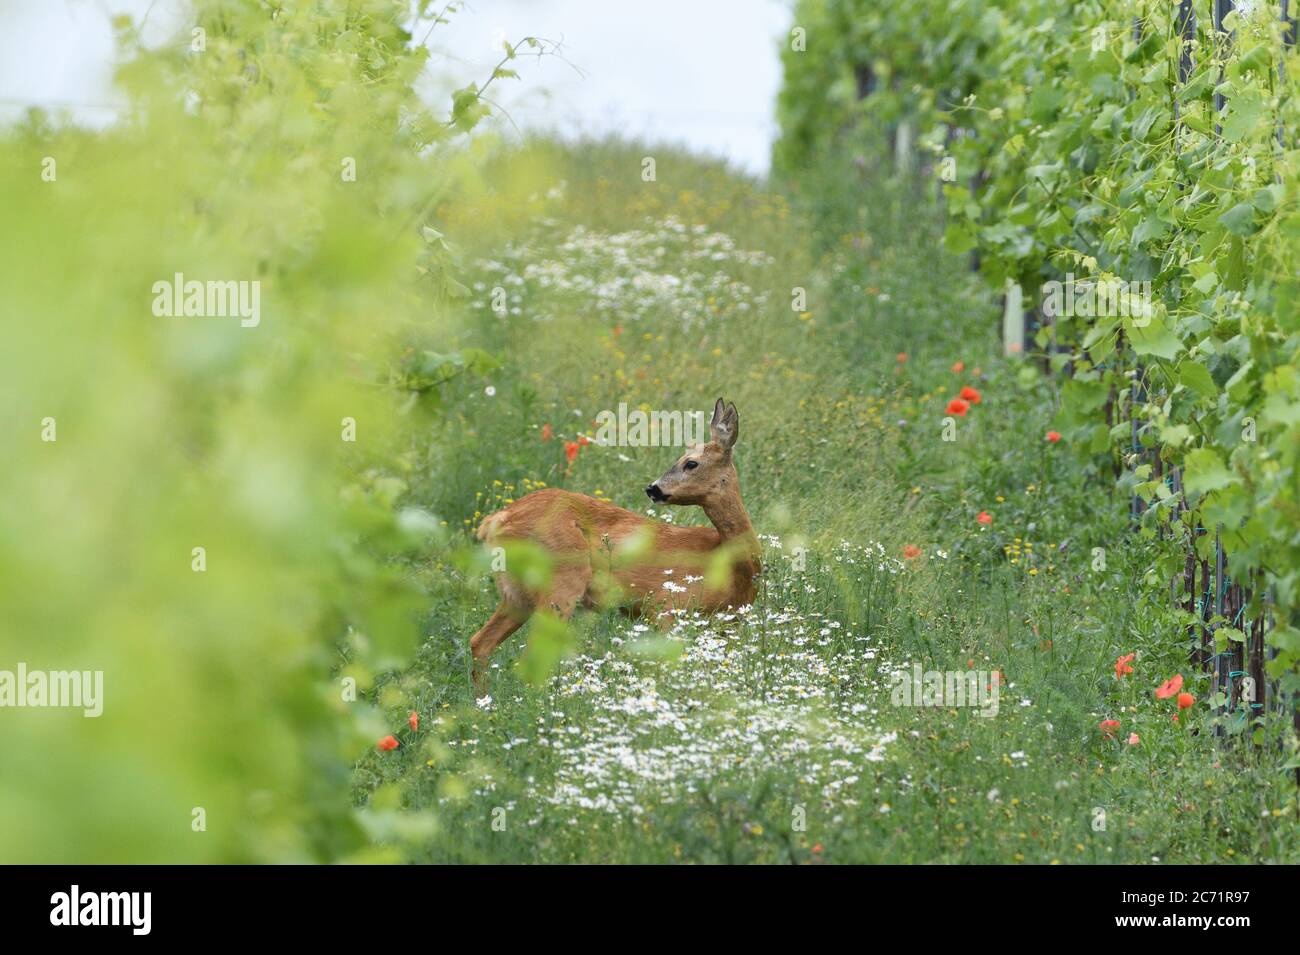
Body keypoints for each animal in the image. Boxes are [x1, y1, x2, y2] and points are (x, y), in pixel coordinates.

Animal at [473, 400, 759, 691]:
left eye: (691, 463)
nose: (652, 488)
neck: (732, 566)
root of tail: (494, 521)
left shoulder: (727, 626)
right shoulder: (666, 606)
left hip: (516, 593)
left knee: (480, 642)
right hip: (561, 582)